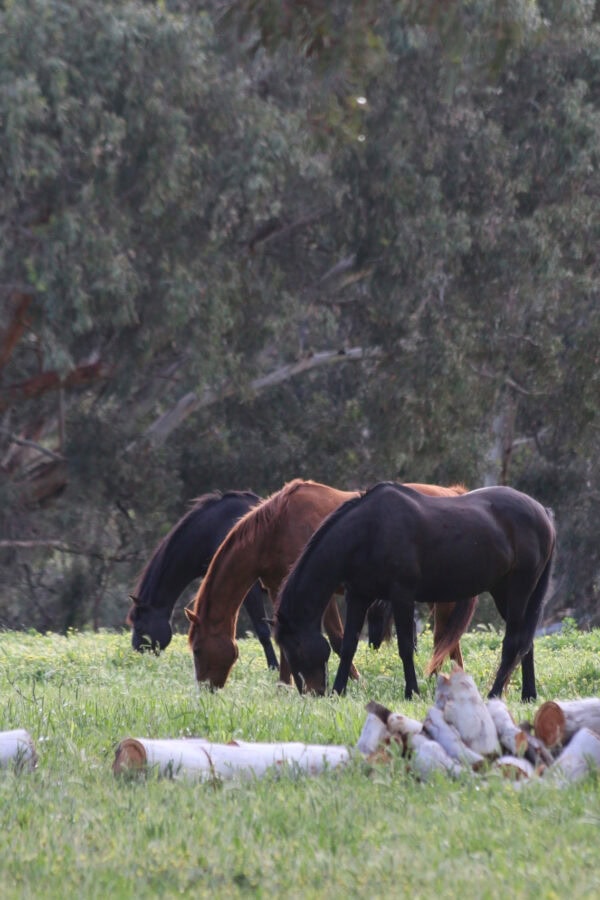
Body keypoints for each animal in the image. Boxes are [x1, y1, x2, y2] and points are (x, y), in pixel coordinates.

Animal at [126, 490, 278, 669]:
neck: (217, 530)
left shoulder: (250, 590)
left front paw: (274, 667)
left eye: (139, 626)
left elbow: (263, 630)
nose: (137, 656)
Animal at [185, 478, 473, 688]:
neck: (276, 528)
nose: (206, 689)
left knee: (444, 636)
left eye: (197, 650)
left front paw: (353, 682)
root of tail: (452, 492)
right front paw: (285, 685)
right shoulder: (280, 590)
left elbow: (336, 638)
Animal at [274, 482, 556, 701]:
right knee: (526, 642)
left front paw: (412, 692)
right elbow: (348, 645)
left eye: (296, 647)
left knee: (513, 642)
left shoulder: (402, 595)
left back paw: (495, 694)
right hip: (504, 592)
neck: (369, 530)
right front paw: (338, 690)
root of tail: (543, 512)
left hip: (519, 589)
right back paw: (528, 695)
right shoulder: (358, 596)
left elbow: (406, 646)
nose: (312, 692)